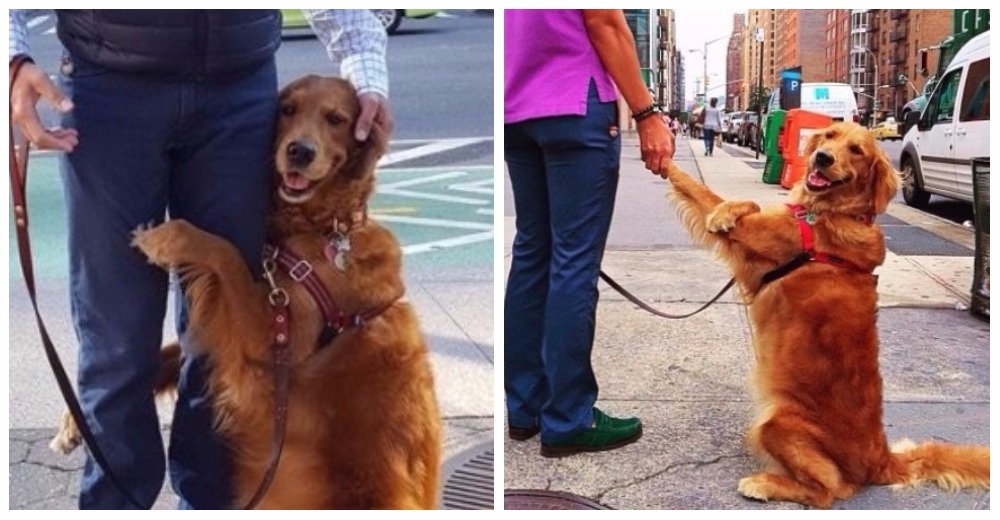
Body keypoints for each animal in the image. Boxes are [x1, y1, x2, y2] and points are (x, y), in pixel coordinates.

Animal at [51, 75, 442, 510]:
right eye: (288, 109)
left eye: (337, 119)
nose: (300, 151)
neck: (323, 227)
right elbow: (167, 353)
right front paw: (73, 423)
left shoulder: (277, 336)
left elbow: (225, 252)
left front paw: (165, 238)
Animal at [656, 122, 992, 508]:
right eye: (830, 135)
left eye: (857, 150)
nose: (821, 157)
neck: (832, 212)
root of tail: (881, 459)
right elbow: (732, 199)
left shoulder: (758, 236)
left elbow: (714, 194)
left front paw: (675, 166)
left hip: (778, 422)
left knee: (828, 491)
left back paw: (763, 484)